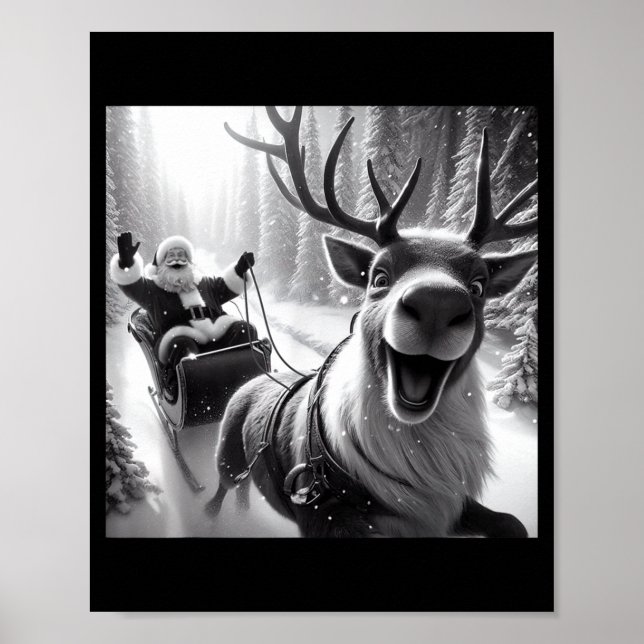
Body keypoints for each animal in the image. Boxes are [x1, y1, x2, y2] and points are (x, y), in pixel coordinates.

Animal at [205, 106, 538, 538]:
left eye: (479, 285)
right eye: (379, 277)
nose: (438, 302)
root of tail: (248, 382)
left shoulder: (450, 505)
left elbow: (513, 524)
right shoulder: (321, 512)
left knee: (247, 489)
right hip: (227, 457)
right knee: (221, 490)